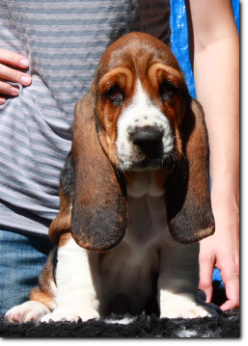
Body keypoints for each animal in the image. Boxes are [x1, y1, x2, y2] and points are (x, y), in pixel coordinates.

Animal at [5, 32, 220, 322]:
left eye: (169, 89)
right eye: (114, 93)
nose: (147, 137)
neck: (141, 189)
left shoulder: (177, 244)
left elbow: (177, 275)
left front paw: (184, 307)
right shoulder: (70, 233)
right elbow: (78, 277)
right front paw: (73, 312)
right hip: (49, 269)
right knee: (44, 290)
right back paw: (28, 309)